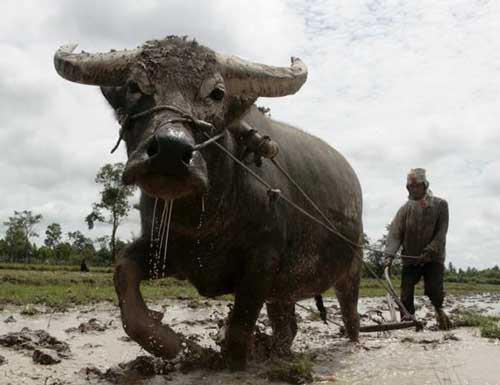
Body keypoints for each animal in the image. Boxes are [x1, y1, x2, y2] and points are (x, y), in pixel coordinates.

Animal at [52, 36, 362, 368]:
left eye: (217, 93)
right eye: (134, 85)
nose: (170, 151)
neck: (206, 216)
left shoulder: (262, 262)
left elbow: (240, 326)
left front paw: (226, 358)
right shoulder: (166, 250)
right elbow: (125, 282)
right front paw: (179, 346)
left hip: (351, 271)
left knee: (350, 316)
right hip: (285, 289)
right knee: (287, 326)